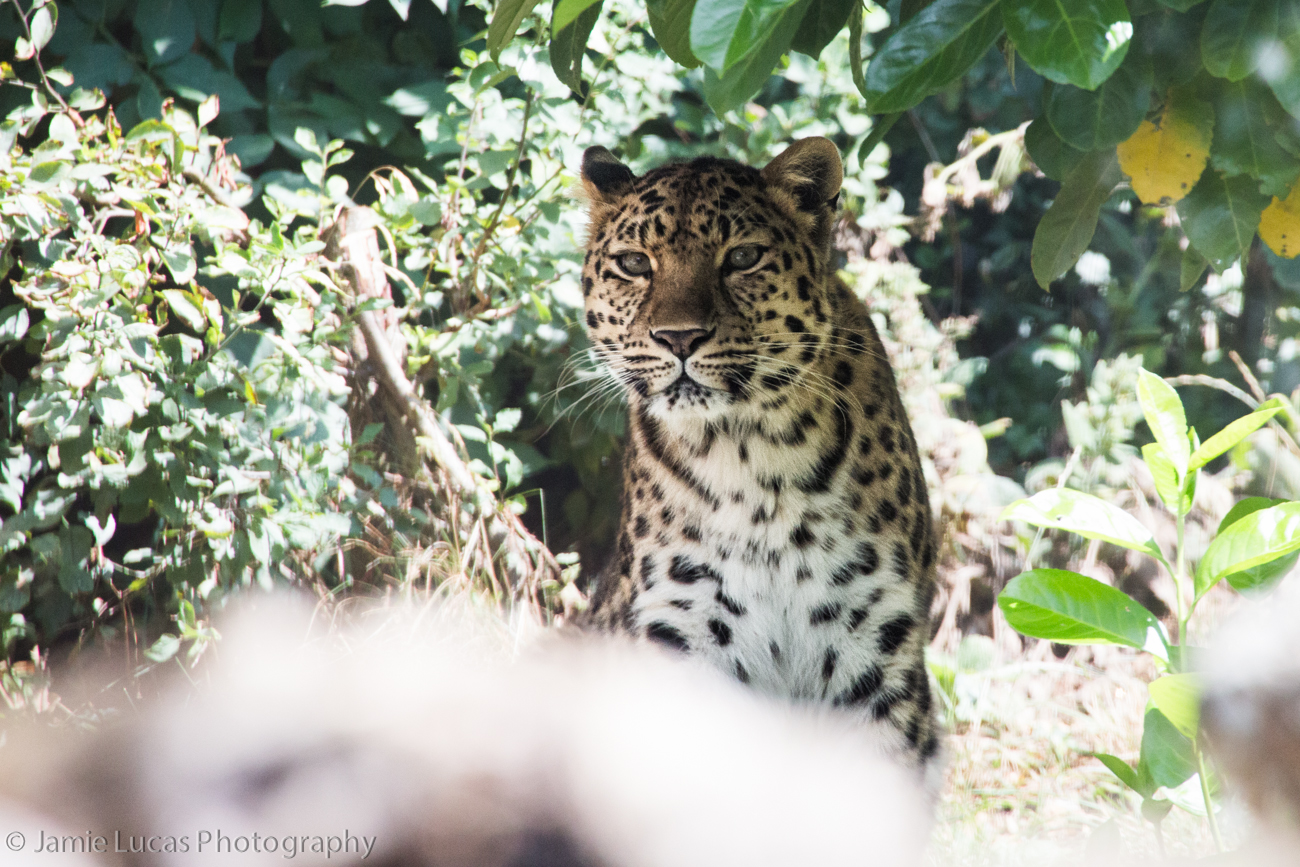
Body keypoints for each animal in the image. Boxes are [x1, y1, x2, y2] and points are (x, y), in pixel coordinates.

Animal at [575, 137, 940, 768]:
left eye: (743, 257)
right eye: (635, 264)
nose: (679, 337)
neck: (747, 453)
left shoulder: (875, 643)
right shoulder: (684, 630)